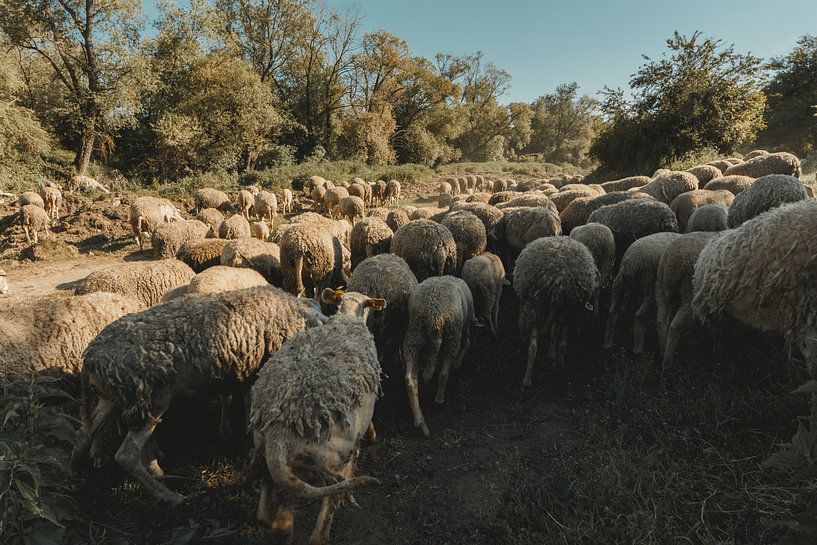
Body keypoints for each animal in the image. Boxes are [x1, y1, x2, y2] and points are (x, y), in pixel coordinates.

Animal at [72, 286, 328, 505]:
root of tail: (91, 359)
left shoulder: (246, 370)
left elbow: (244, 403)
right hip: (152, 397)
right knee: (126, 454)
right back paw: (168, 495)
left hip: (113, 398)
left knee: (84, 433)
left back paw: (79, 474)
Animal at [249, 313, 381, 545]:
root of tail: (279, 435)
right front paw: (373, 434)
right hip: (334, 457)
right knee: (330, 499)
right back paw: (319, 533)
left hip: (266, 449)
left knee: (266, 506)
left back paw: (281, 524)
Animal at [402, 276, 474, 437]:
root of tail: (433, 312)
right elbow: (467, 342)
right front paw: (458, 362)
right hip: (453, 332)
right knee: (443, 371)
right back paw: (439, 398)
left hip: (414, 332)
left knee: (410, 378)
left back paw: (420, 421)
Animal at [514, 237, 599, 386]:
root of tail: (555, 277)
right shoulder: (566, 313)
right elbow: (559, 340)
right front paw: (556, 362)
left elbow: (553, 333)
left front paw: (551, 357)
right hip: (567, 309)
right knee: (559, 343)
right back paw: (558, 367)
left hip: (533, 306)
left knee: (533, 346)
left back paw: (527, 379)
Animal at [655, 232, 718, 370]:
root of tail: (672, 261)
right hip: (690, 291)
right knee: (675, 325)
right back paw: (667, 362)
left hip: (662, 288)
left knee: (662, 320)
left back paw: (662, 351)